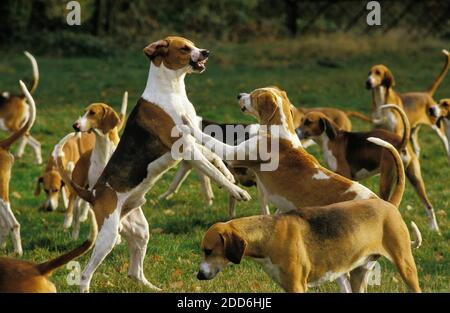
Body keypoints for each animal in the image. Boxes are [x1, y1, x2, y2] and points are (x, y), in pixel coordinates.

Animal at [61, 91, 128, 238]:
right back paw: (74, 233)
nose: (75, 125)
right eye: (84, 112)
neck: (104, 150)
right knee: (75, 211)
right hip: (78, 189)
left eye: (92, 113)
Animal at [181, 84, 406, 290]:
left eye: (253, 95)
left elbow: (209, 139)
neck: (280, 131)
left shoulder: (234, 154)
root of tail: (383, 203)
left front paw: (189, 125)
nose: (238, 95)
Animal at [298, 105, 442, 232]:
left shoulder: (344, 175)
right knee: (428, 205)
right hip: (415, 178)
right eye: (302, 120)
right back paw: (434, 230)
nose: (296, 131)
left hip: (385, 181)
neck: (331, 139)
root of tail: (401, 142)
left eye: (308, 122)